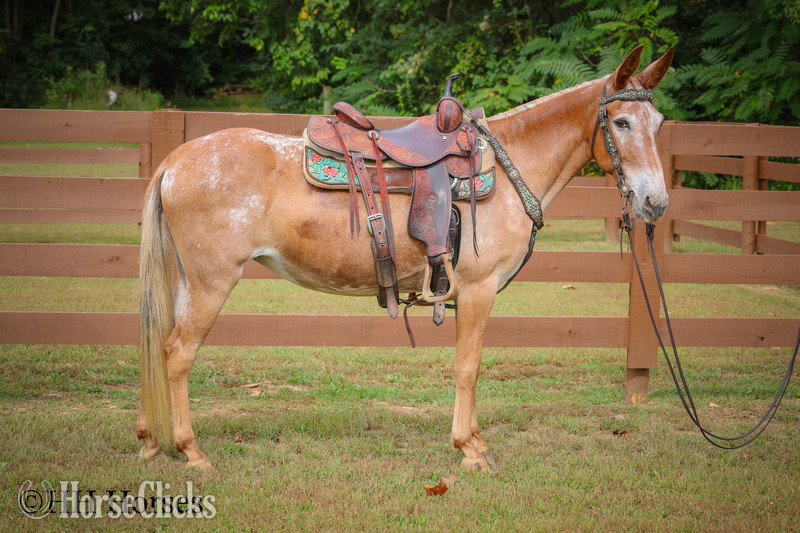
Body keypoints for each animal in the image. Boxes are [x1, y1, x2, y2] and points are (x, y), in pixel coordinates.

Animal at [137, 46, 674, 471]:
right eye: (621, 122)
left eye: (659, 125)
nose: (655, 203)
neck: (509, 165)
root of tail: (175, 160)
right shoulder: (477, 290)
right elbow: (468, 366)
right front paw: (469, 449)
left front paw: (475, 441)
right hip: (211, 282)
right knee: (178, 353)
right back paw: (191, 452)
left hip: (187, 281)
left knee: (158, 345)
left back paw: (149, 439)